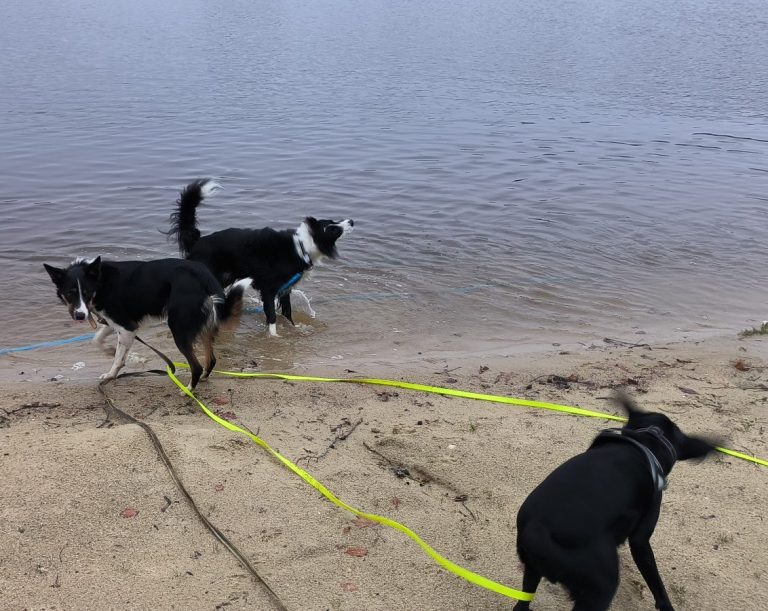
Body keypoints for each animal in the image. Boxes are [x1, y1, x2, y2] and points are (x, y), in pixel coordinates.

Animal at [45, 256, 250, 390]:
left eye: (86, 293)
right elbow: (98, 340)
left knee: (196, 366)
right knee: (211, 359)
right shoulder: (117, 323)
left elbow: (118, 357)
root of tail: (204, 276)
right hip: (204, 325)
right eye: (70, 293)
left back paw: (188, 390)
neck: (100, 282)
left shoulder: (127, 327)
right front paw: (109, 352)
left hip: (179, 328)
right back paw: (205, 379)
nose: (80, 315)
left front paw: (112, 372)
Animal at [168, 179, 354, 338]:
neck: (302, 246)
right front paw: (274, 337)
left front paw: (294, 330)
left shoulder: (285, 289)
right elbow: (272, 317)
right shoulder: (268, 289)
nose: (351, 221)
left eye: (333, 220)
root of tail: (197, 241)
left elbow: (287, 313)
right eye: (332, 228)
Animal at [512, 394, 716, 608]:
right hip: (600, 591)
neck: (648, 439)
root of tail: (538, 529)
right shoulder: (641, 540)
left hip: (532, 574)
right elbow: (657, 584)